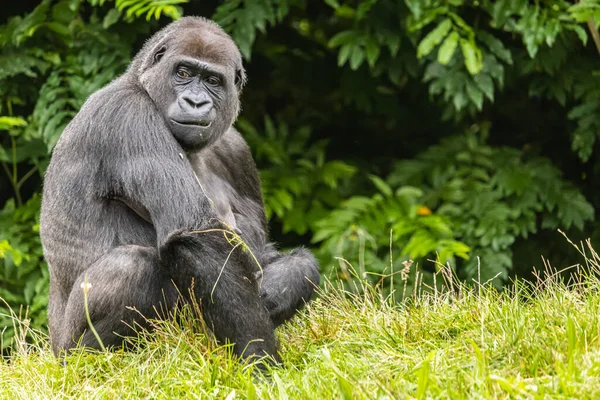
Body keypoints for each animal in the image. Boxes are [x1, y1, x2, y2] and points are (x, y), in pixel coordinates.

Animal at [39, 16, 322, 366]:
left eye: (213, 80)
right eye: (183, 73)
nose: (196, 102)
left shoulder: (236, 149)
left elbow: (259, 251)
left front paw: (288, 280)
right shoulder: (129, 115)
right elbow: (196, 234)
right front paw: (259, 358)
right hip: (63, 350)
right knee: (133, 268)